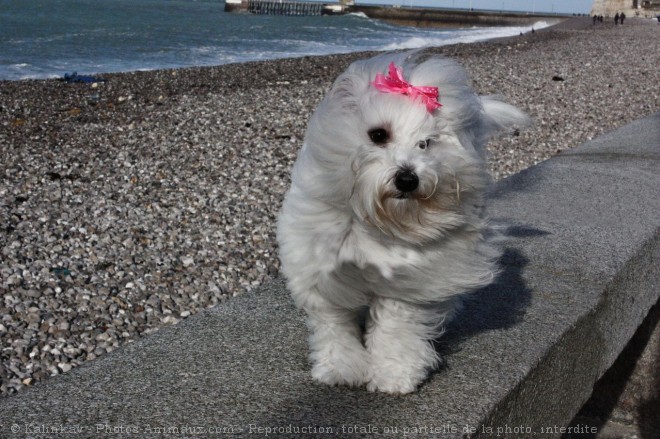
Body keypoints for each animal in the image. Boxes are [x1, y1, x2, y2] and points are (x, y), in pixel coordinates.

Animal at [276, 51, 528, 396]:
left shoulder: (408, 281)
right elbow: (335, 327)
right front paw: (340, 368)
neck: (379, 222)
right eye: (378, 135)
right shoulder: (323, 275)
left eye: (427, 143)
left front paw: (394, 375)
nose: (407, 179)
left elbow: (394, 329)